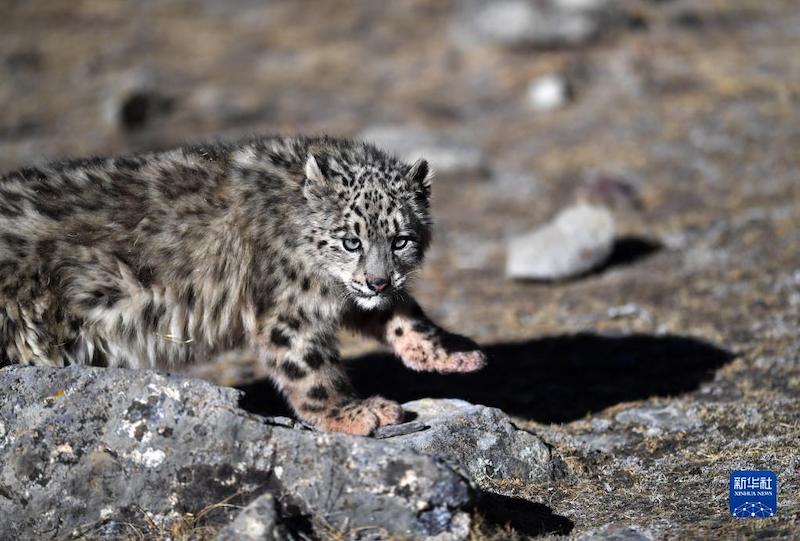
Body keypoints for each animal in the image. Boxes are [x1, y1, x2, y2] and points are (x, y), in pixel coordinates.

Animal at [0, 135, 488, 434]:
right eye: (351, 241)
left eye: (401, 239)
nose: (377, 281)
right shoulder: (289, 311)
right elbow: (311, 371)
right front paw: (352, 413)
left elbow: (405, 314)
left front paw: (452, 352)